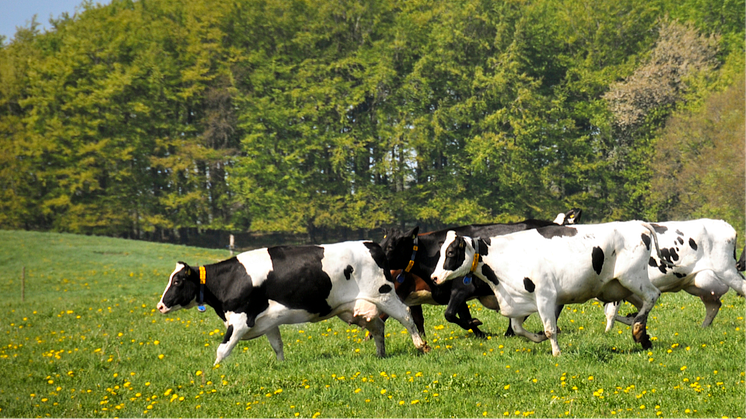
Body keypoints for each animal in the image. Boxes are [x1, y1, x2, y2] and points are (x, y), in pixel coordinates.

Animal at [378, 209, 580, 338]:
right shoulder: (453, 293)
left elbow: (450, 314)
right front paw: (478, 331)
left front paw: (476, 324)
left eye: (390, 246)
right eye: (381, 243)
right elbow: (458, 315)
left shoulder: (461, 289)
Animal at [600, 220, 740, 332]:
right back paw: (703, 327)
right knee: (714, 305)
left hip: (728, 272)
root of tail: (725, 225)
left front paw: (608, 333)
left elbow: (611, 313)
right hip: (700, 284)